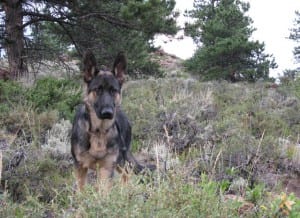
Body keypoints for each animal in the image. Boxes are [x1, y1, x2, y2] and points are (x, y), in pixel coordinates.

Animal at [71, 51, 154, 191]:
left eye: (113, 90)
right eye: (98, 89)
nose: (107, 113)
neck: (98, 131)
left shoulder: (107, 168)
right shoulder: (80, 167)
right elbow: (81, 192)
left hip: (120, 159)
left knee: (126, 174)